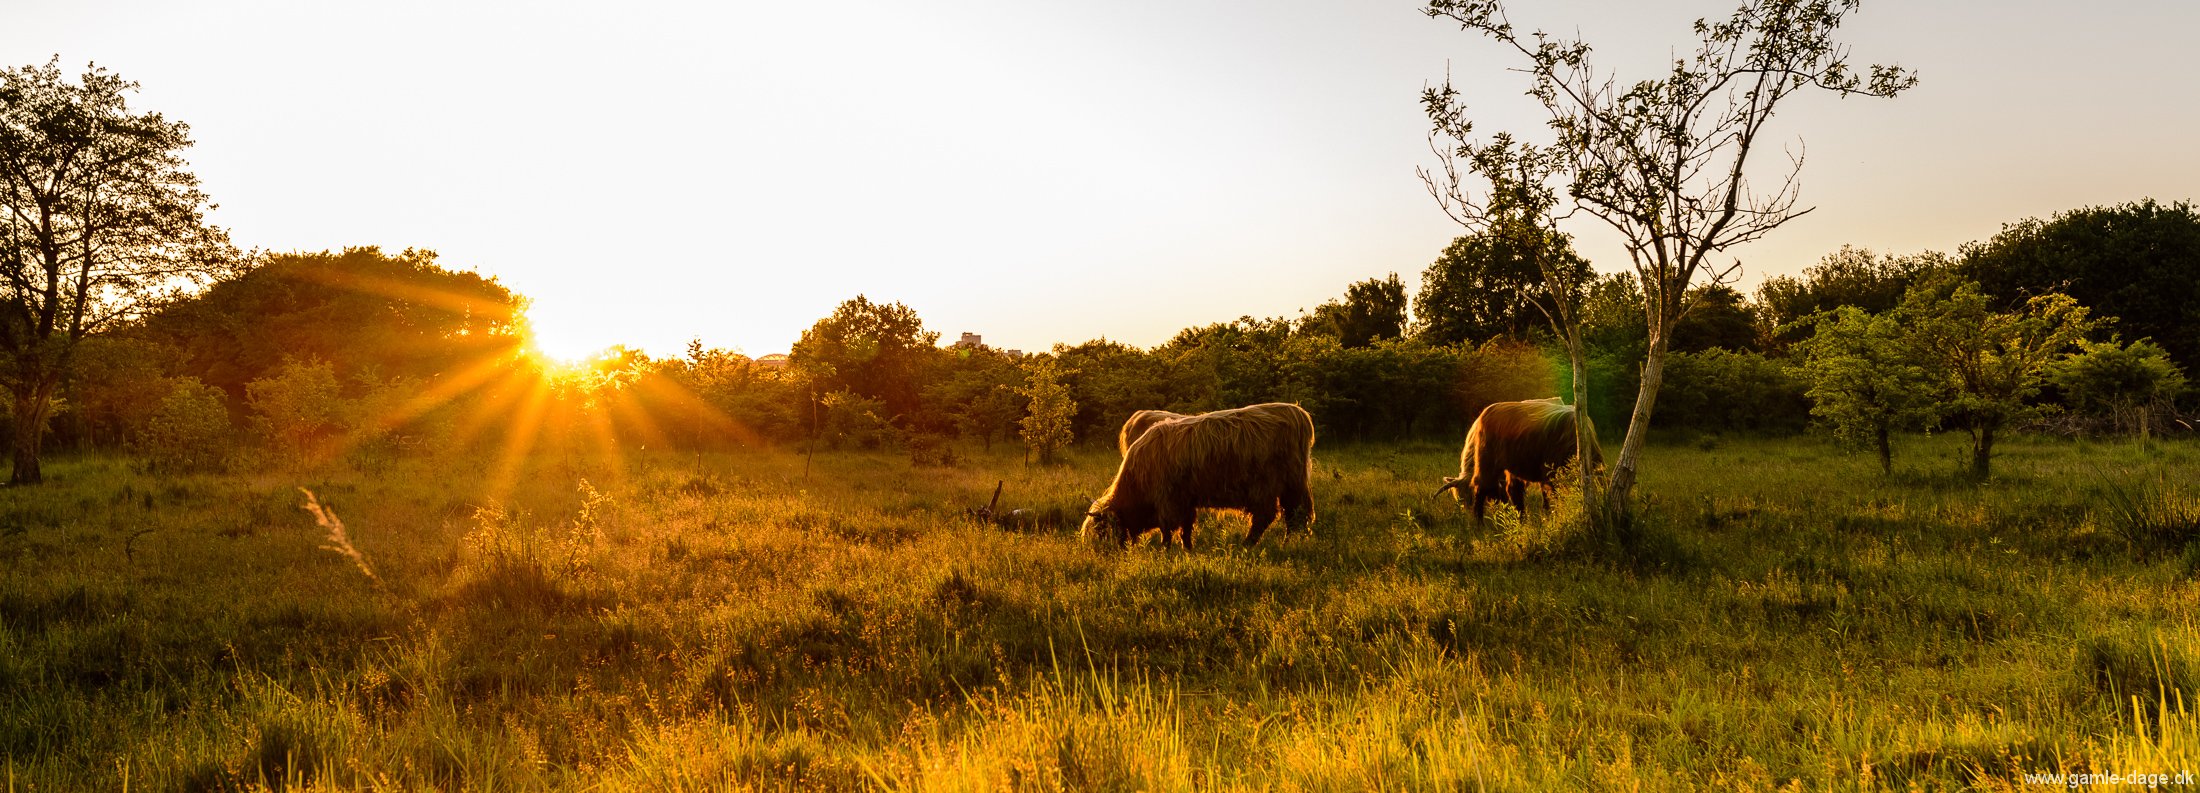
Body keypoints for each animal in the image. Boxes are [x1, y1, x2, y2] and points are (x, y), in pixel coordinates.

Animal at [1078, 398, 1302, 548]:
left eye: (1101, 531)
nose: (1103, 553)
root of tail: (1294, 412)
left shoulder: (1168, 500)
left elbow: (1168, 528)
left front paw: (1166, 550)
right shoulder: (1186, 500)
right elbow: (1186, 528)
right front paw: (1188, 549)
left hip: (1263, 485)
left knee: (1265, 516)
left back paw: (1247, 544)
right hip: (1292, 484)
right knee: (1294, 514)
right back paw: (1287, 542)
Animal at [1434, 398, 1610, 524]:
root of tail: (1488, 410)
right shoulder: (1549, 474)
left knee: (1511, 490)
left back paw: (1519, 518)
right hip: (1488, 461)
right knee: (1482, 486)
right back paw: (1479, 523)